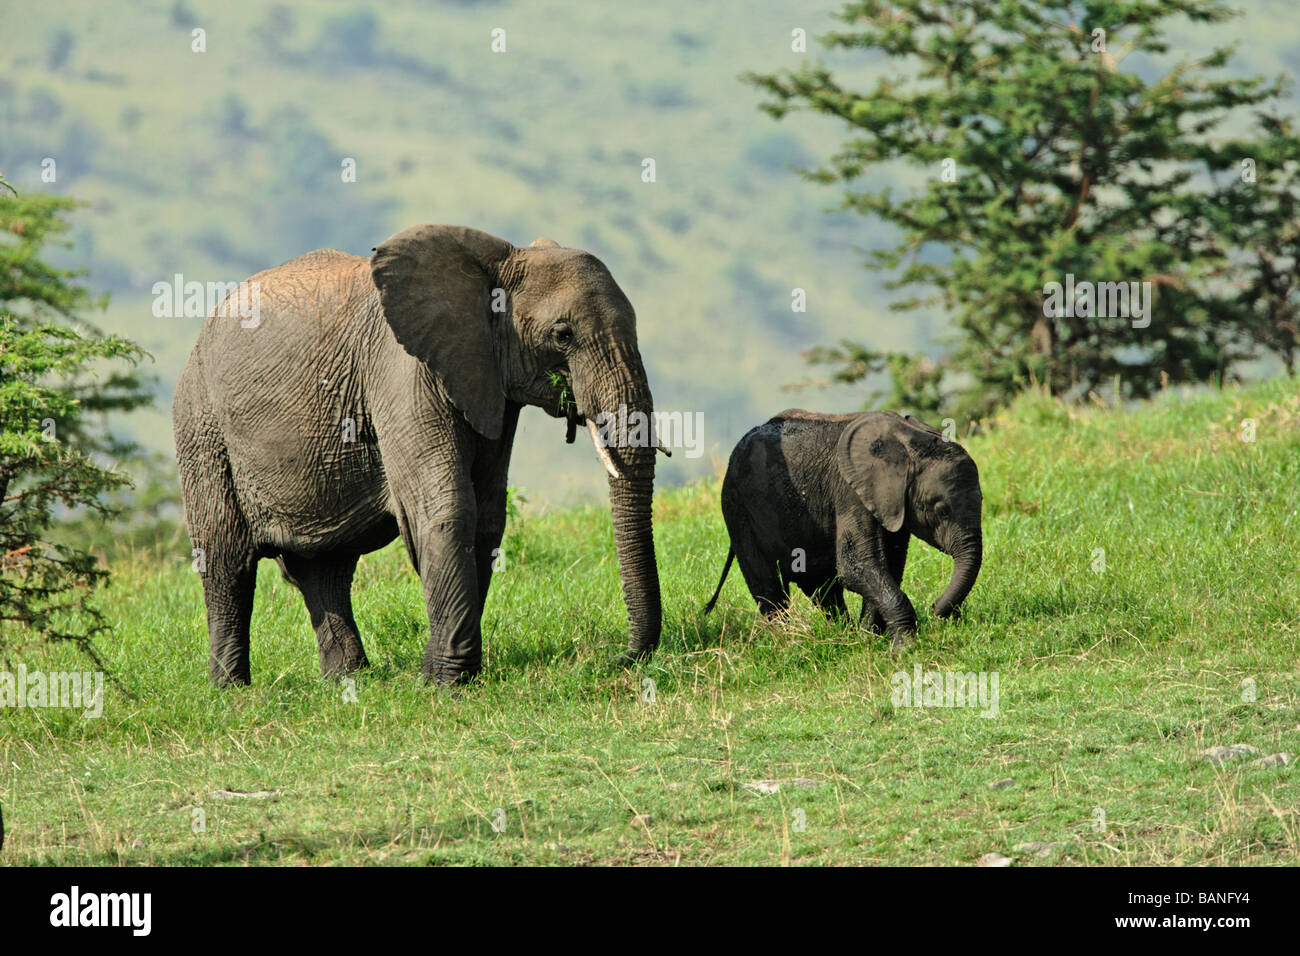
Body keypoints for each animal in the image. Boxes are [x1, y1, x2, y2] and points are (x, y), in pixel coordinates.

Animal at [175, 227, 660, 686]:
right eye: (562, 335)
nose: (622, 659)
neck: (500, 260)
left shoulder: (488, 383)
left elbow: (487, 518)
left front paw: (438, 675)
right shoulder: (401, 370)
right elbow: (448, 509)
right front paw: (446, 683)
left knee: (325, 568)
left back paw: (349, 681)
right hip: (201, 426)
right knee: (226, 559)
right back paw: (232, 691)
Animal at [707, 411, 977, 650]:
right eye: (941, 509)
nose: (935, 609)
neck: (908, 441)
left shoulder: (891, 504)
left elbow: (887, 565)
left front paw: (869, 638)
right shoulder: (851, 493)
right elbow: (856, 565)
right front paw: (905, 648)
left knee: (821, 588)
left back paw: (841, 633)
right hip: (737, 510)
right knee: (769, 588)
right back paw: (787, 642)